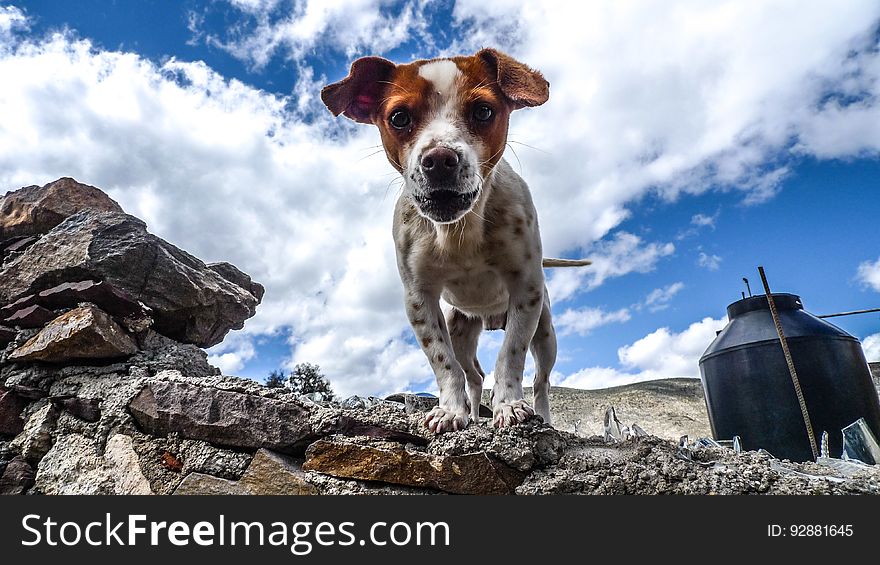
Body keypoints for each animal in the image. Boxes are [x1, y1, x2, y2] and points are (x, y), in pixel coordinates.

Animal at [320, 50, 588, 434]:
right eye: (399, 117)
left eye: (483, 111)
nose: (439, 160)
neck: (458, 231)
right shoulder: (420, 299)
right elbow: (444, 363)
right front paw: (451, 411)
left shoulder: (526, 290)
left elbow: (510, 356)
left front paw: (509, 405)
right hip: (461, 329)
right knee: (473, 374)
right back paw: (473, 414)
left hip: (545, 332)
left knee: (541, 381)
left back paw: (543, 416)